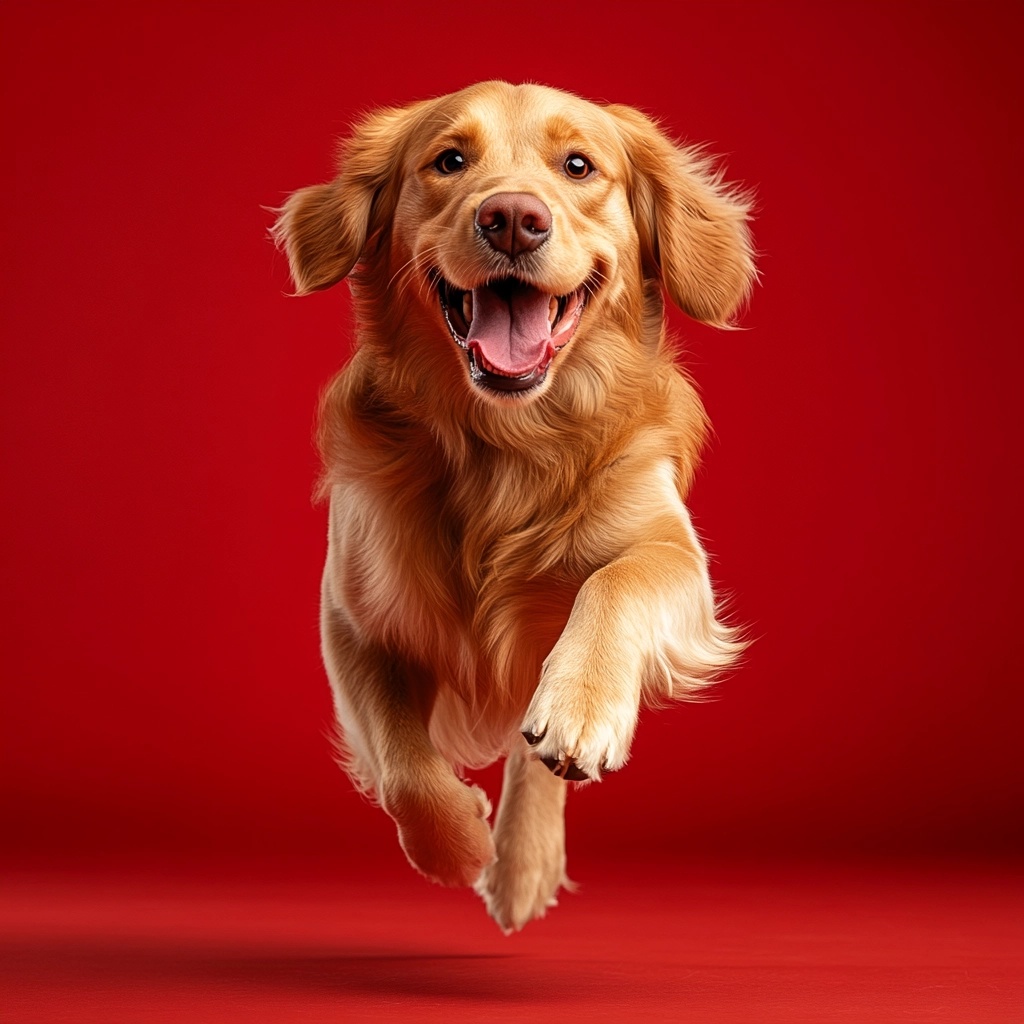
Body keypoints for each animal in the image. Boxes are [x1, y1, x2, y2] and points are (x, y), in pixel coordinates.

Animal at [272, 81, 753, 929]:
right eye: (448, 161)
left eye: (579, 166)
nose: (512, 217)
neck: (508, 447)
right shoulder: (353, 615)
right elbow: (405, 767)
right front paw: (460, 844)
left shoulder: (670, 551)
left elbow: (616, 581)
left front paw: (581, 712)